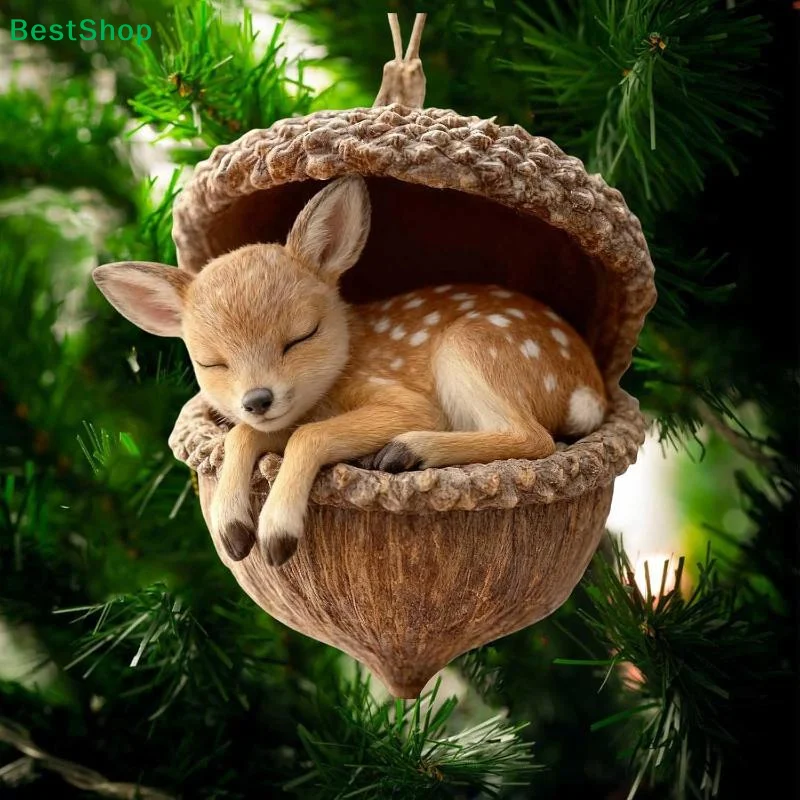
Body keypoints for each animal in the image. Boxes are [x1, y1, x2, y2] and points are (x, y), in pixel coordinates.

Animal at [92, 175, 607, 568]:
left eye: (302, 335)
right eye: (210, 361)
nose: (257, 399)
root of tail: (588, 389)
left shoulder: (406, 401)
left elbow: (308, 436)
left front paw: (277, 531)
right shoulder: (289, 416)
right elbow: (244, 433)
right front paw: (232, 529)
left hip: (470, 348)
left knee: (534, 438)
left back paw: (404, 451)